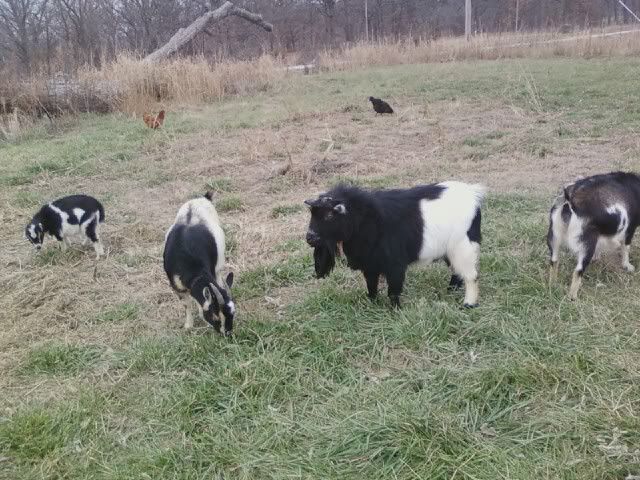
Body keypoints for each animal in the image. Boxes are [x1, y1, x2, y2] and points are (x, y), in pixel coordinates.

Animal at [163, 192, 235, 335]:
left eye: (233, 314)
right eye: (215, 316)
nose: (228, 334)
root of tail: (202, 198)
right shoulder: (176, 286)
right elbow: (187, 304)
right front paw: (188, 326)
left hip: (219, 262)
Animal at [304, 182, 485, 308]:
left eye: (329, 215)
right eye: (313, 214)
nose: (309, 238)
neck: (369, 220)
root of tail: (473, 195)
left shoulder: (395, 265)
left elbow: (393, 290)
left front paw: (395, 310)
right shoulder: (370, 264)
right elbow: (371, 286)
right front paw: (371, 303)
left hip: (464, 246)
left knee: (471, 276)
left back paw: (468, 304)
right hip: (451, 250)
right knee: (457, 272)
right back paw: (451, 290)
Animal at [547, 171, 640, 299]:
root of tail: (570, 201)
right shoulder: (630, 228)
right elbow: (626, 247)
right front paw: (628, 266)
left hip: (554, 235)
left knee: (554, 261)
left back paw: (553, 285)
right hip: (586, 244)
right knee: (578, 270)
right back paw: (573, 297)